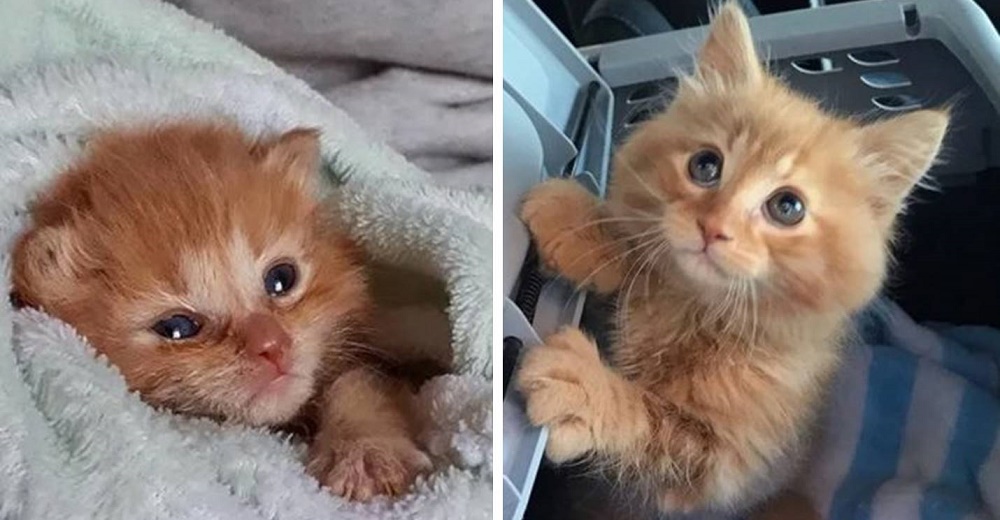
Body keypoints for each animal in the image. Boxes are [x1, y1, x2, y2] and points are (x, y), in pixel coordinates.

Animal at [520, 2, 948, 516]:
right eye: (706, 165)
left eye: (788, 207)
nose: (713, 228)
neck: (694, 309)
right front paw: (579, 223)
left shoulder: (721, 468)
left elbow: (650, 421)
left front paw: (586, 388)